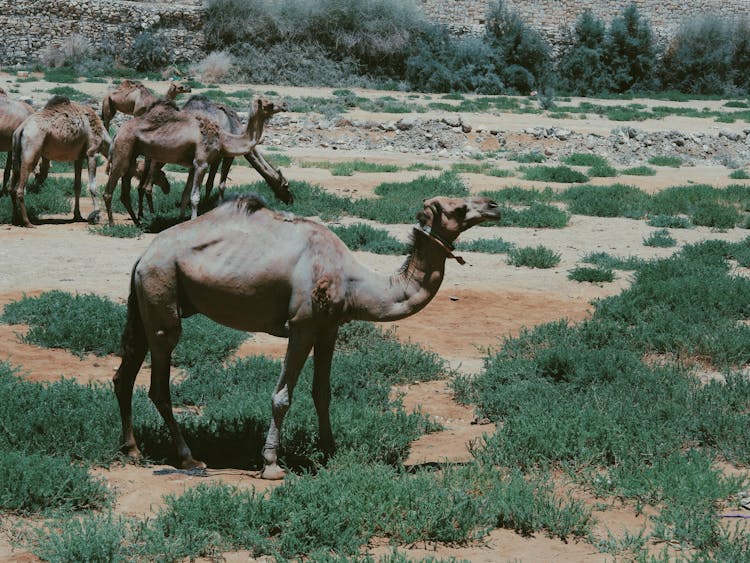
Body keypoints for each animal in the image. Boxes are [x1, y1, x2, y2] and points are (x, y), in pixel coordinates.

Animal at [10, 96, 111, 228]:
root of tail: (20, 129)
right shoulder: (91, 153)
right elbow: (93, 186)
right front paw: (96, 216)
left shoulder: (79, 157)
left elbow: (77, 186)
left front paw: (78, 216)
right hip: (31, 150)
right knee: (20, 189)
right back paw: (28, 223)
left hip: (16, 154)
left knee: (12, 188)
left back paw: (16, 219)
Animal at [107, 98, 290, 226]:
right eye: (269, 104)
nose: (284, 105)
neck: (224, 137)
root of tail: (117, 133)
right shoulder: (202, 162)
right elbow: (196, 196)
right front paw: (194, 219)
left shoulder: (193, 164)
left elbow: (185, 193)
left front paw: (181, 220)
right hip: (124, 150)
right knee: (111, 189)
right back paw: (112, 223)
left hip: (133, 154)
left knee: (127, 190)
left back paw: (138, 221)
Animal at [111, 194, 502, 480]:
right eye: (458, 207)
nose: (494, 205)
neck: (355, 282)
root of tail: (142, 256)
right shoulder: (302, 324)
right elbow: (282, 395)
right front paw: (271, 464)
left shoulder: (329, 327)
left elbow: (322, 392)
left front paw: (330, 450)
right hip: (162, 294)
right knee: (158, 384)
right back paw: (190, 459)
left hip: (148, 303)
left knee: (123, 375)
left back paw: (132, 449)